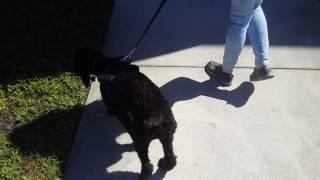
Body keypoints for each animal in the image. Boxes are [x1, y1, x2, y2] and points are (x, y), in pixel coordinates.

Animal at [73, 47, 178, 179]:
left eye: (75, 62)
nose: (72, 72)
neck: (104, 63)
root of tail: (159, 122)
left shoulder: (108, 98)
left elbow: (111, 107)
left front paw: (110, 112)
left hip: (141, 142)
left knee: (147, 164)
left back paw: (143, 175)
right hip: (168, 137)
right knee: (170, 157)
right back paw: (165, 164)